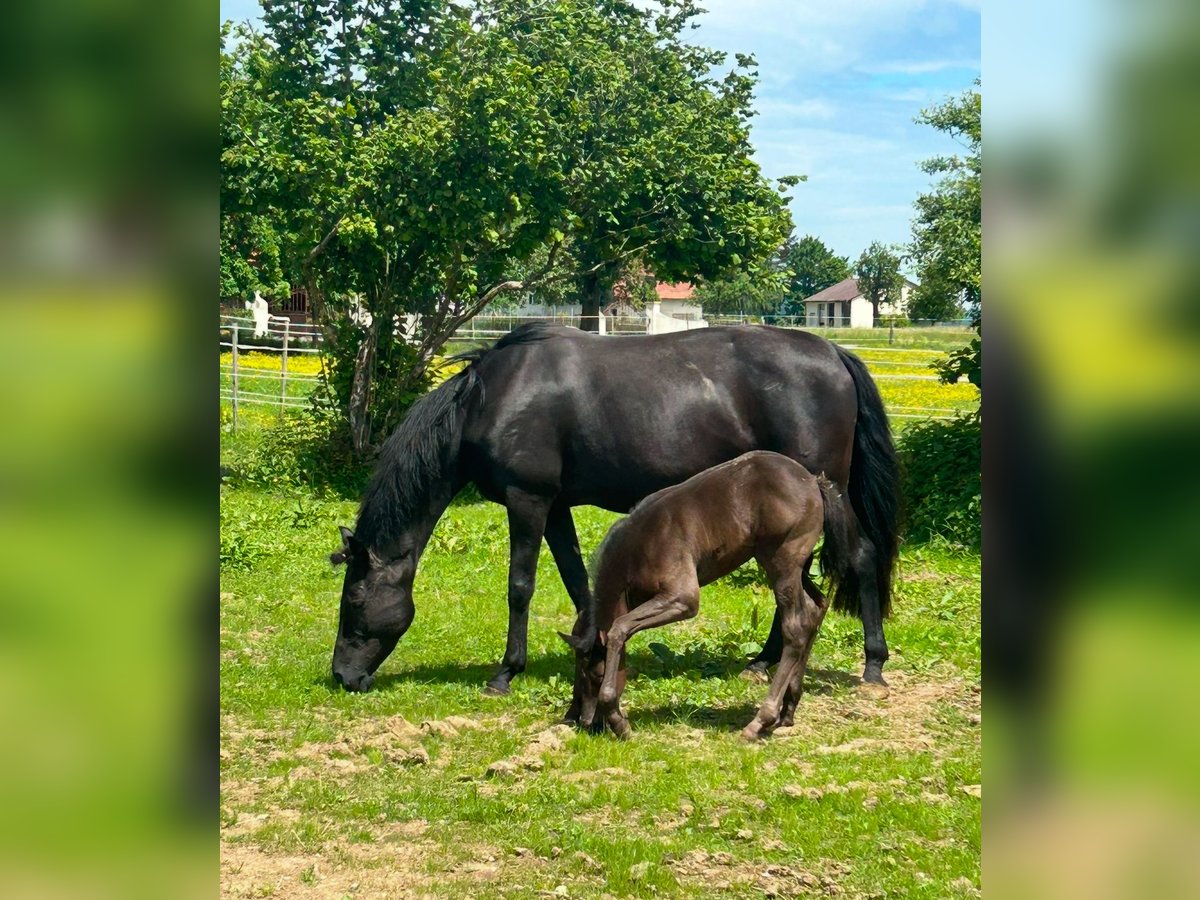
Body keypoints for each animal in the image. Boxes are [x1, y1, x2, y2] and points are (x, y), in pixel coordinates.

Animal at [326, 324, 892, 705]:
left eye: (354, 599)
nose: (342, 677)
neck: (490, 399)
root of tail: (834, 353)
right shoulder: (555, 507)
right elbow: (578, 581)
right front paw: (588, 646)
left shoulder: (528, 500)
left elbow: (520, 586)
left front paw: (506, 673)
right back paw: (764, 660)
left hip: (828, 496)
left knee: (861, 558)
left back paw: (872, 663)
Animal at [561, 451, 854, 739]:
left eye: (594, 674)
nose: (585, 721)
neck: (637, 548)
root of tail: (814, 481)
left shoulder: (682, 597)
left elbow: (619, 629)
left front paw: (618, 720)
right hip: (795, 567)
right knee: (816, 610)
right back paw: (788, 709)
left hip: (781, 561)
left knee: (795, 628)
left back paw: (759, 721)